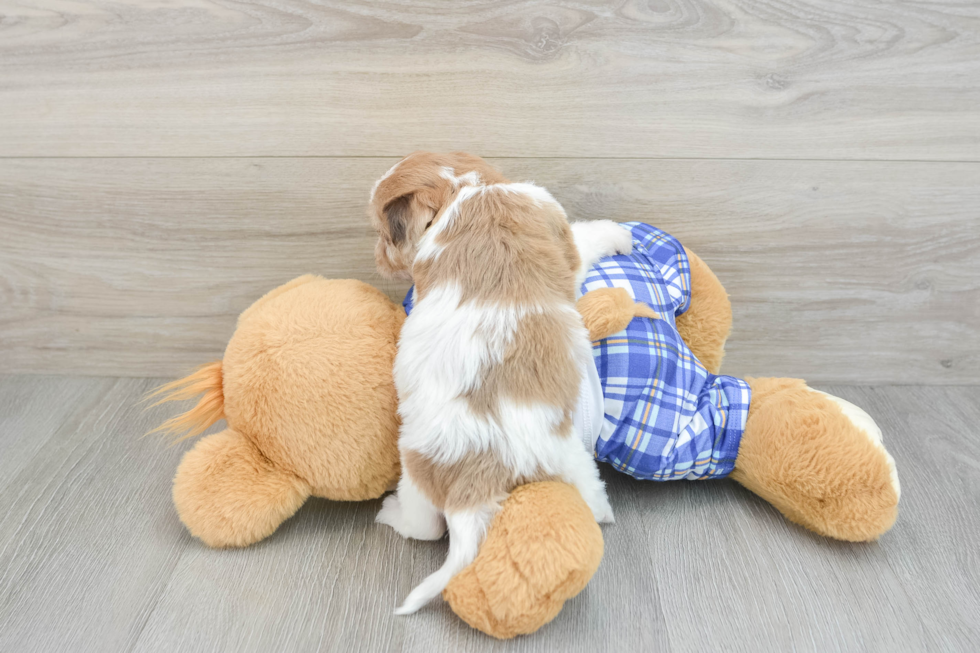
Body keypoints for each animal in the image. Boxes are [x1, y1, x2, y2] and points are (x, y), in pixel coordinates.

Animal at [370, 150, 636, 612]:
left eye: (386, 234)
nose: (377, 255)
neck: (463, 188)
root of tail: (476, 479)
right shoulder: (560, 232)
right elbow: (587, 236)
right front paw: (620, 234)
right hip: (561, 456)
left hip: (437, 468)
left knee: (426, 527)